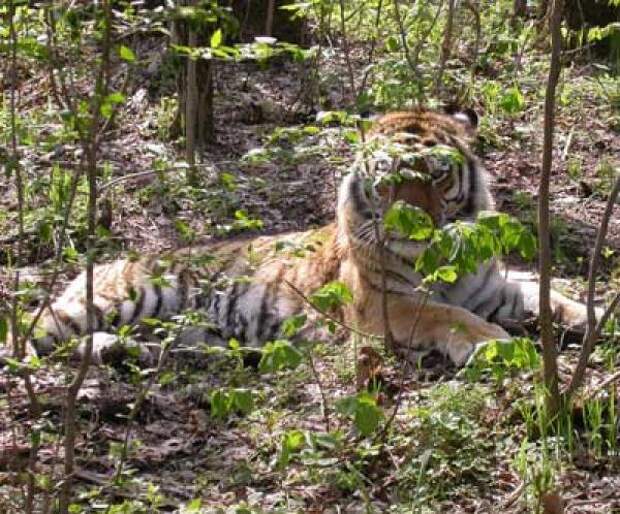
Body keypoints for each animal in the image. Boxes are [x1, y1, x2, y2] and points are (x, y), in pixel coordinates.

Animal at [4, 106, 596, 366]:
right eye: (388, 178)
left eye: (435, 175)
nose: (412, 223)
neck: (440, 259)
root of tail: (110, 259)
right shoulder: (383, 305)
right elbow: (449, 315)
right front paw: (495, 343)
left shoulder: (494, 288)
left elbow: (548, 293)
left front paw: (593, 316)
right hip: (115, 298)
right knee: (31, 334)